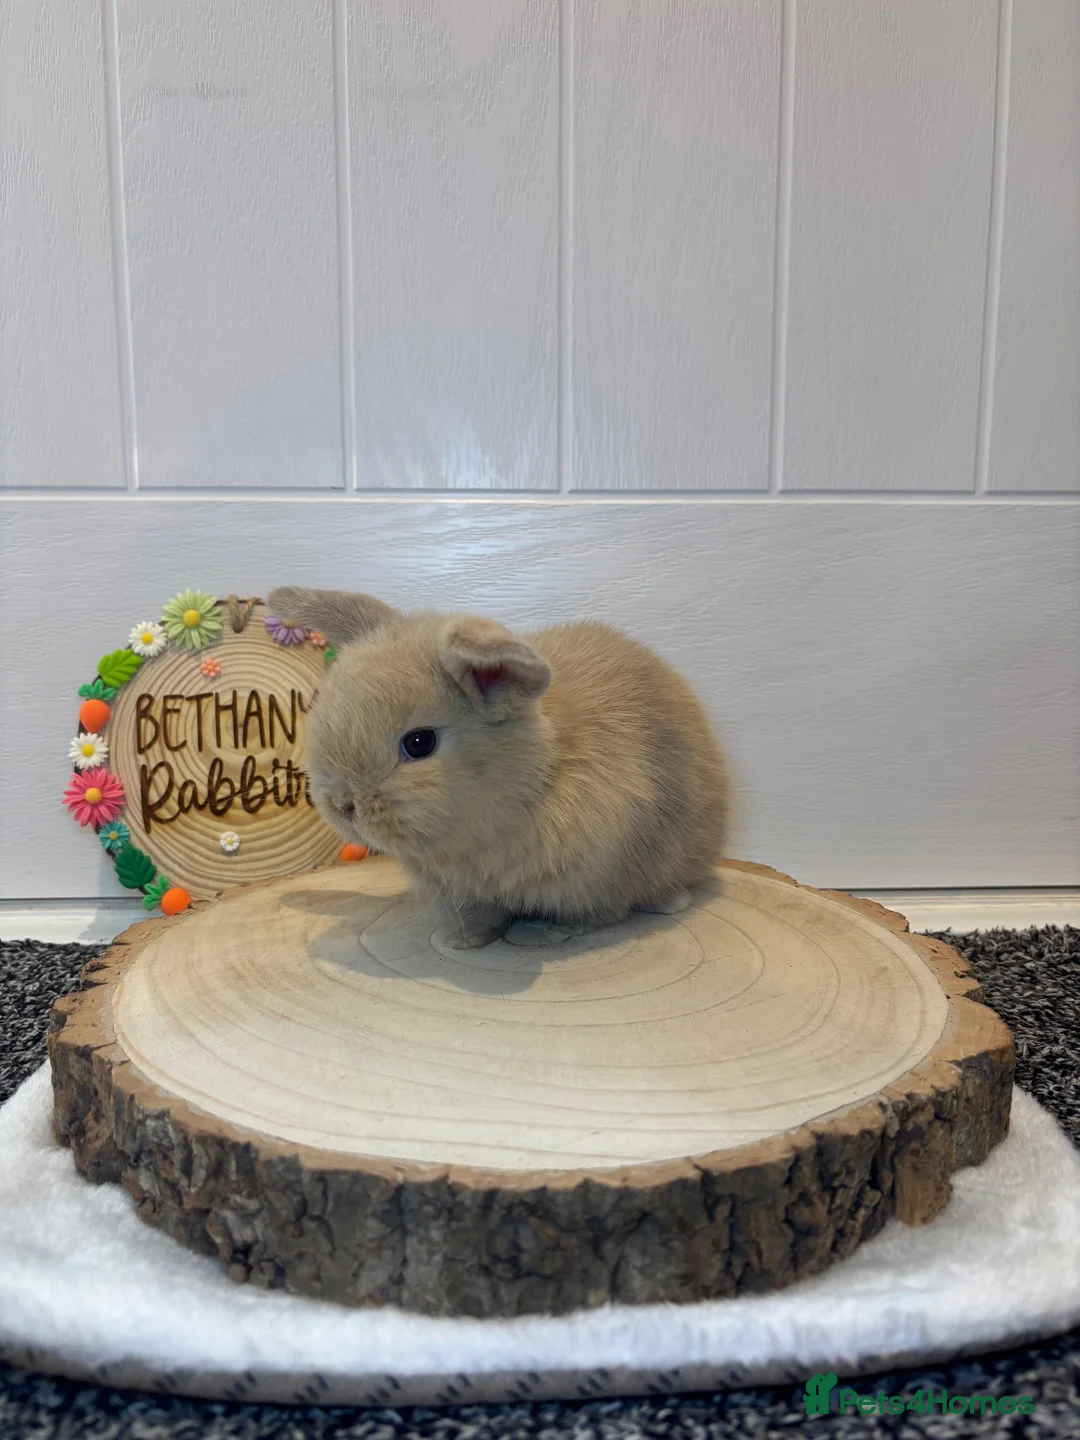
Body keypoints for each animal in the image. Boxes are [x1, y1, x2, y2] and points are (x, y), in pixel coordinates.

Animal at [269, 586, 729, 949]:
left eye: (419, 743)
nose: (343, 806)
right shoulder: (460, 889)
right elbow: (479, 918)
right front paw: (458, 941)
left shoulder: (599, 874)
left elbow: (597, 915)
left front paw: (550, 933)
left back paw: (670, 902)